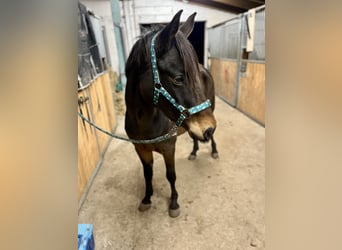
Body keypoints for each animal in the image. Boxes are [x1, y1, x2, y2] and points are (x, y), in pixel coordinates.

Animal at [124, 10, 218, 217]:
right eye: (178, 78)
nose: (207, 128)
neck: (145, 121)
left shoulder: (169, 148)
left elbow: (171, 175)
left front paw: (174, 203)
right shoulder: (140, 149)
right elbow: (148, 174)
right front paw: (147, 199)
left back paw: (214, 151)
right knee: (195, 137)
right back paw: (194, 152)